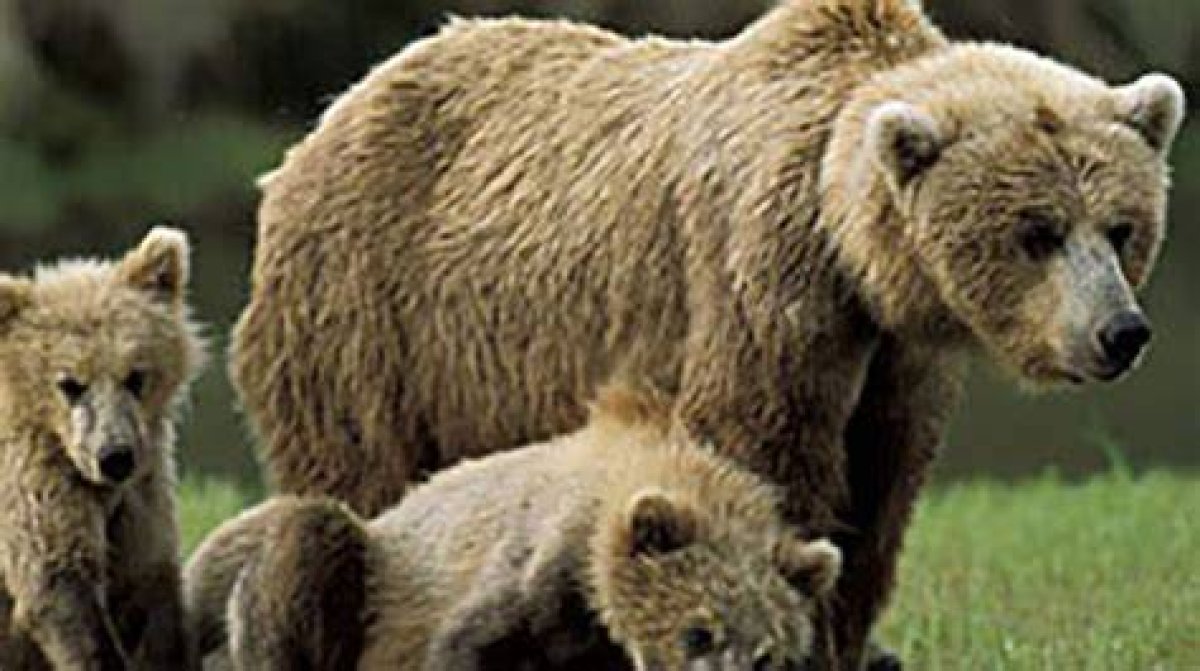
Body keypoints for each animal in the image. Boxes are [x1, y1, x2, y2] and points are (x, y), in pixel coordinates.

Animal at [0, 227, 206, 670]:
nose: (115, 457)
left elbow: (153, 590)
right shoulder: (34, 479)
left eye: (136, 375)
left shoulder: (143, 496)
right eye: (70, 383)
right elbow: (60, 581)